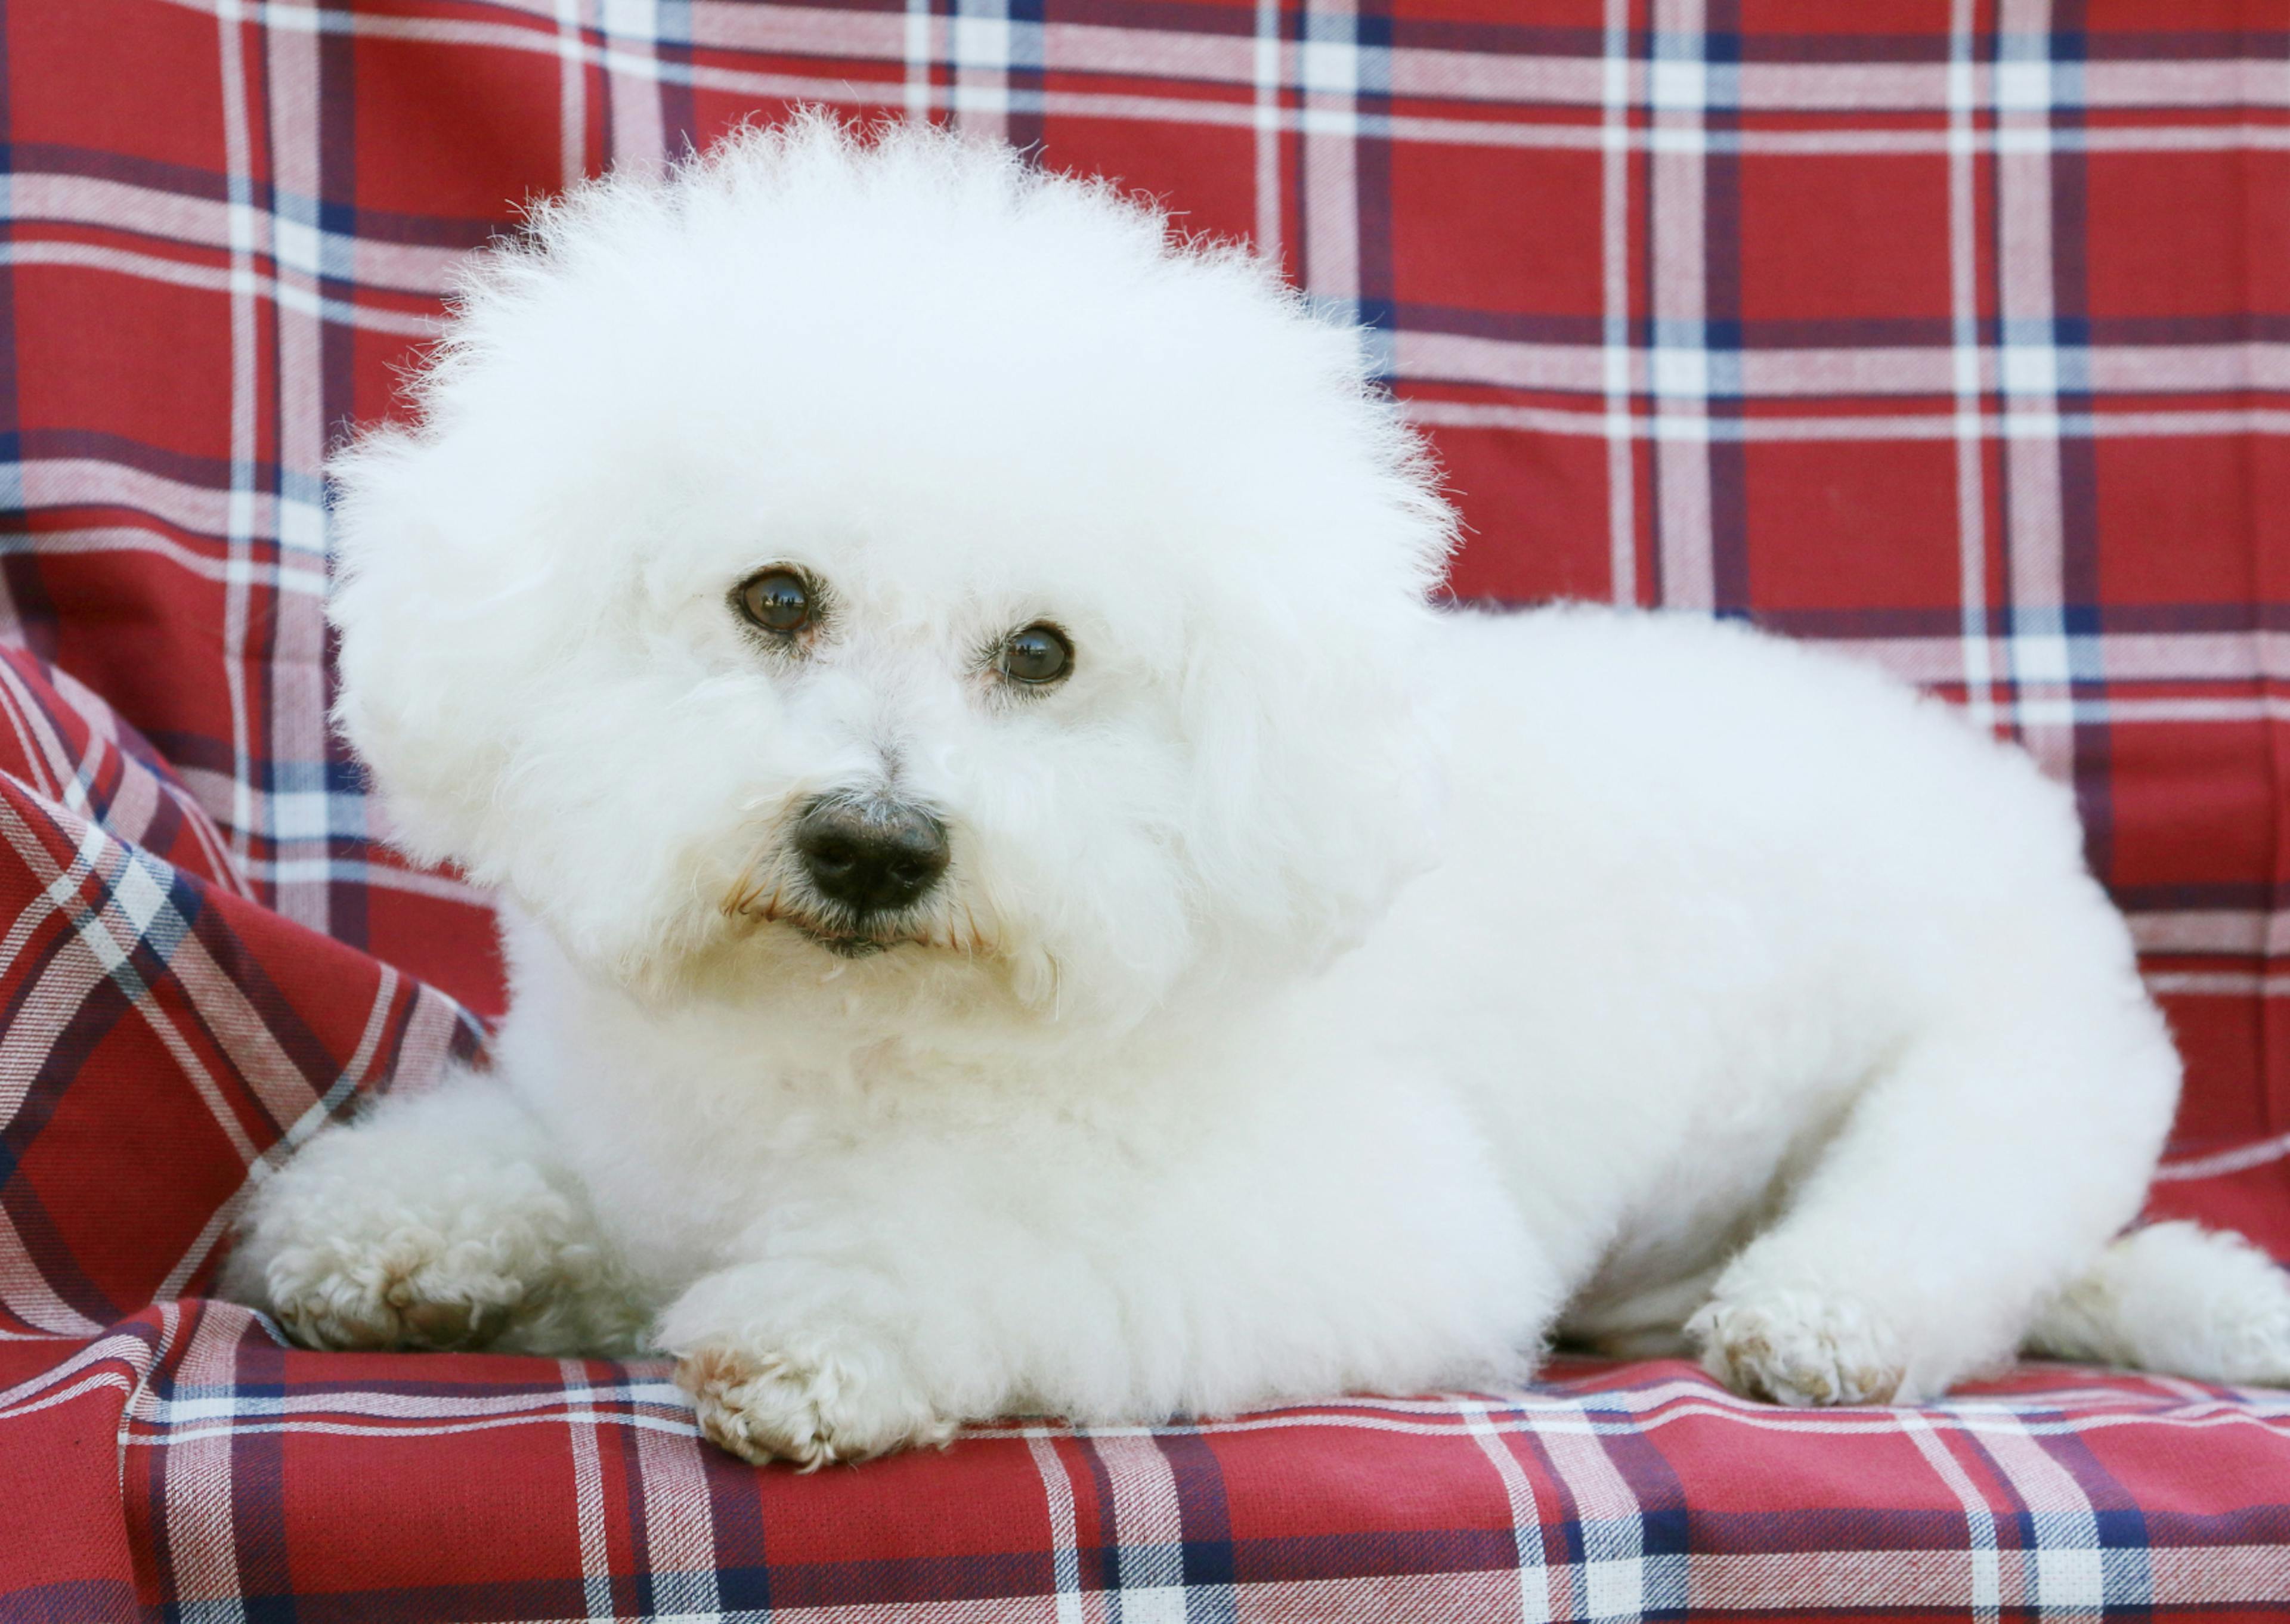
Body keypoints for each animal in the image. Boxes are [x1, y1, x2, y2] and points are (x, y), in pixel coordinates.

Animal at [223, 111, 2290, 1456]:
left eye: (1042, 653)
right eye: (776, 596)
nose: (874, 844)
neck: (858, 1044)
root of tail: (2018, 806)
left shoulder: (1369, 1240)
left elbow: (1008, 1253)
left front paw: (826, 1326)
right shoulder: (624, 1147)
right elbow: (525, 1176)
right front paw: (393, 1234)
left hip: (1998, 1080)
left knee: (1946, 1233)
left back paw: (1819, 1320)